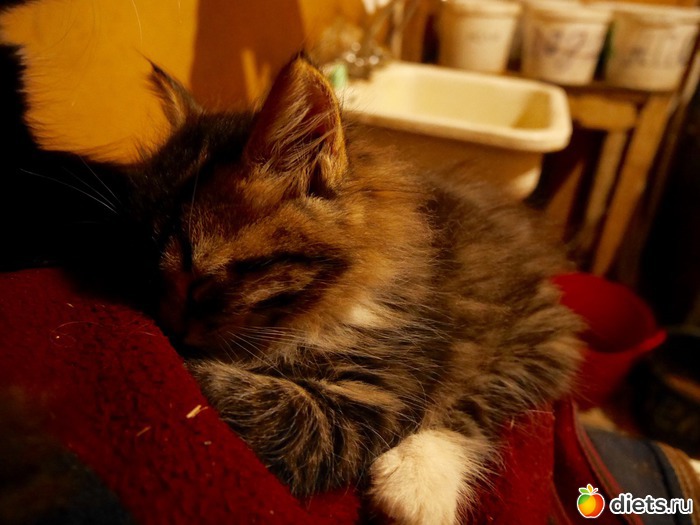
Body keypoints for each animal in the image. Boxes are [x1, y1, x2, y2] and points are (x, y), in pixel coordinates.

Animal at [3, 50, 582, 524]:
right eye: (147, 273)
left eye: (199, 279)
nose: (169, 324)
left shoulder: (365, 402)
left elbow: (247, 396)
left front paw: (180, 358)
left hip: (542, 338)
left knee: (480, 399)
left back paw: (415, 487)